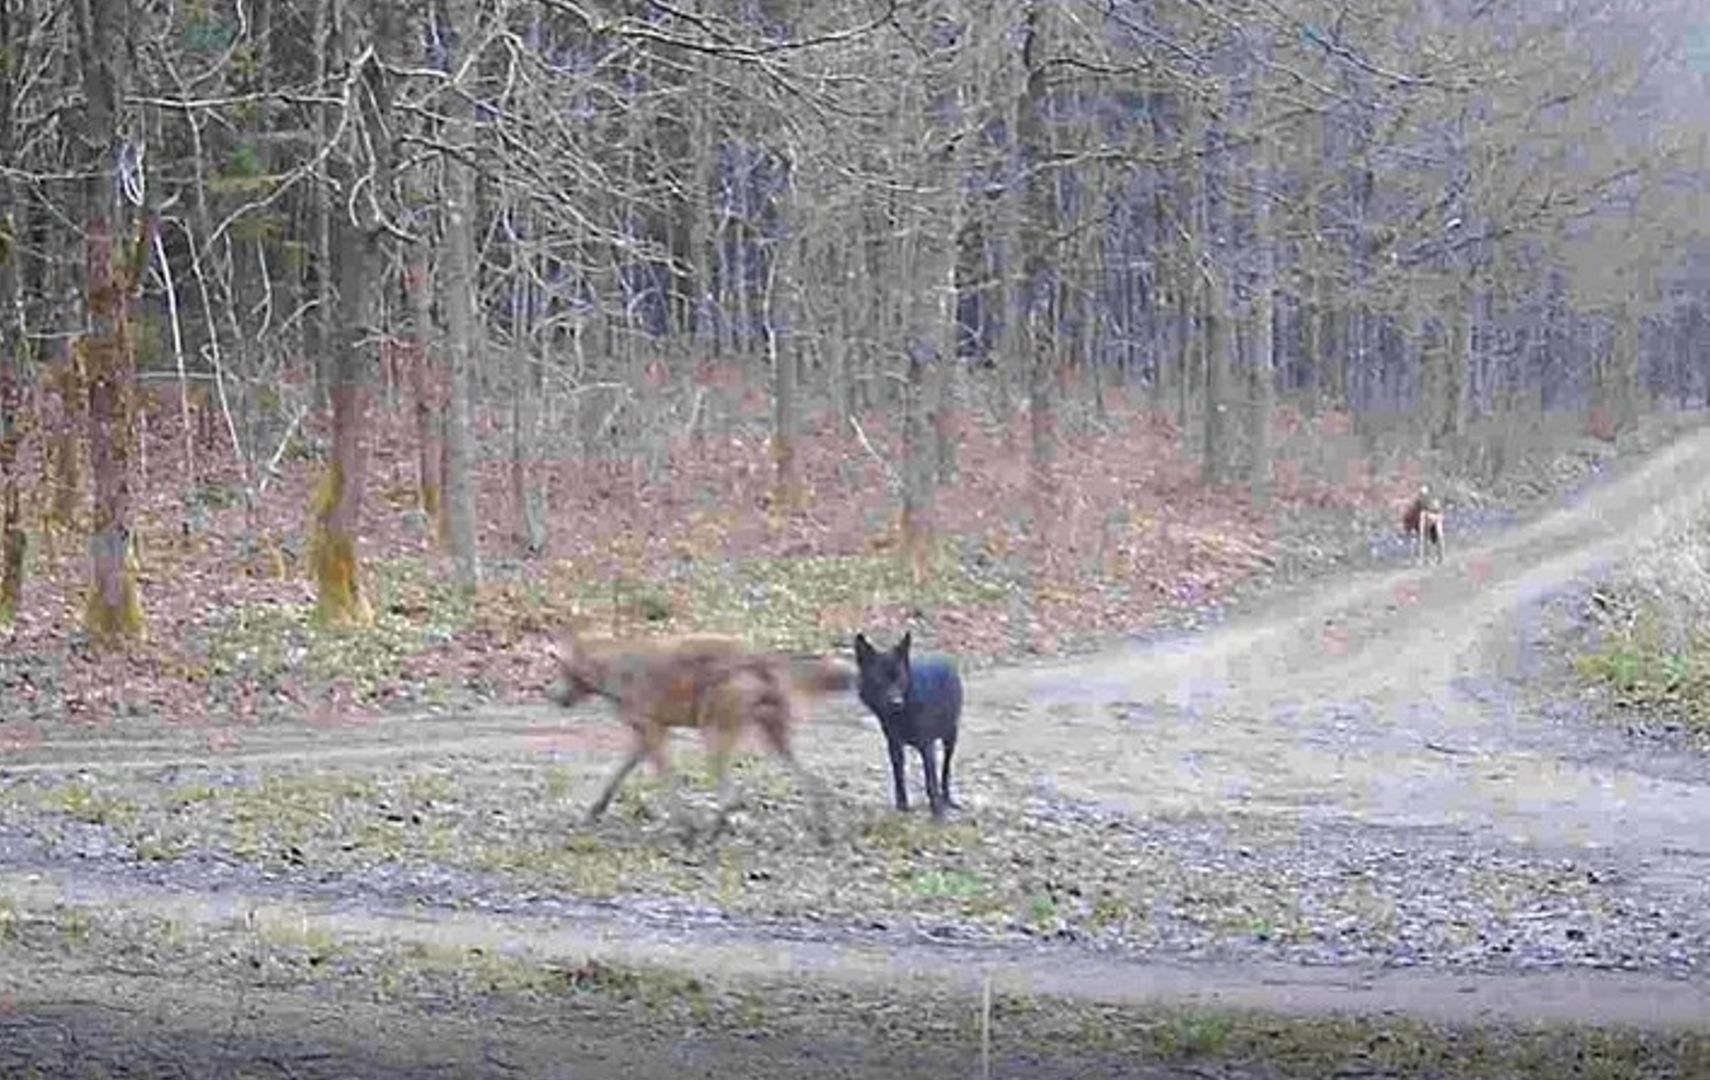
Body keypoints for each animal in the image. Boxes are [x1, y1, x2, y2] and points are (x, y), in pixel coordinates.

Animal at [543, 628, 851, 840]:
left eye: (558, 669)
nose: (548, 693)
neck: (611, 667)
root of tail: (761, 656)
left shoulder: (653, 734)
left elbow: (668, 782)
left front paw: (685, 826)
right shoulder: (643, 738)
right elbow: (614, 778)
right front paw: (594, 810)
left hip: (713, 734)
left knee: (731, 796)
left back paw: (710, 832)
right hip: (771, 739)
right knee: (813, 781)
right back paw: (823, 831)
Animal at [851, 632, 964, 816]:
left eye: (900, 678)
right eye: (879, 680)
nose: (896, 702)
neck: (902, 714)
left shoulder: (927, 746)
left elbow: (931, 781)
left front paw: (938, 812)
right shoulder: (894, 745)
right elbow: (899, 777)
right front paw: (902, 806)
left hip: (950, 738)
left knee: (945, 772)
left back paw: (947, 799)